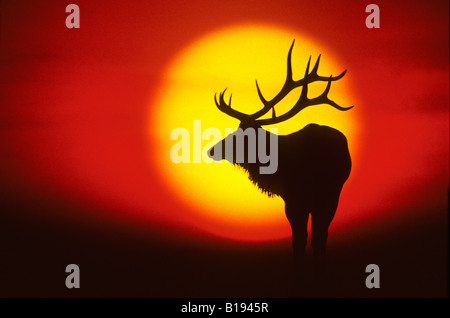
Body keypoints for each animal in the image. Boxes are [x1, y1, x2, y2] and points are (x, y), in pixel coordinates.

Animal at [209, 39, 354, 272]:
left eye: (242, 135)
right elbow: (300, 239)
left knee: (321, 235)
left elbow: (308, 238)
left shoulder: (306, 197)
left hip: (331, 194)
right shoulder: (295, 200)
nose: (211, 150)